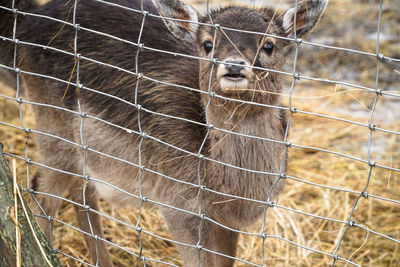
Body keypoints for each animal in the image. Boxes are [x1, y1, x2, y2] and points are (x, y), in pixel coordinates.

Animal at [0, 0, 328, 266]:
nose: (234, 66)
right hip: (51, 122)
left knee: (82, 191)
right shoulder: (177, 204)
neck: (230, 192)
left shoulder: (227, 222)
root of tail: (26, 23)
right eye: (207, 44)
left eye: (269, 45)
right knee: (40, 194)